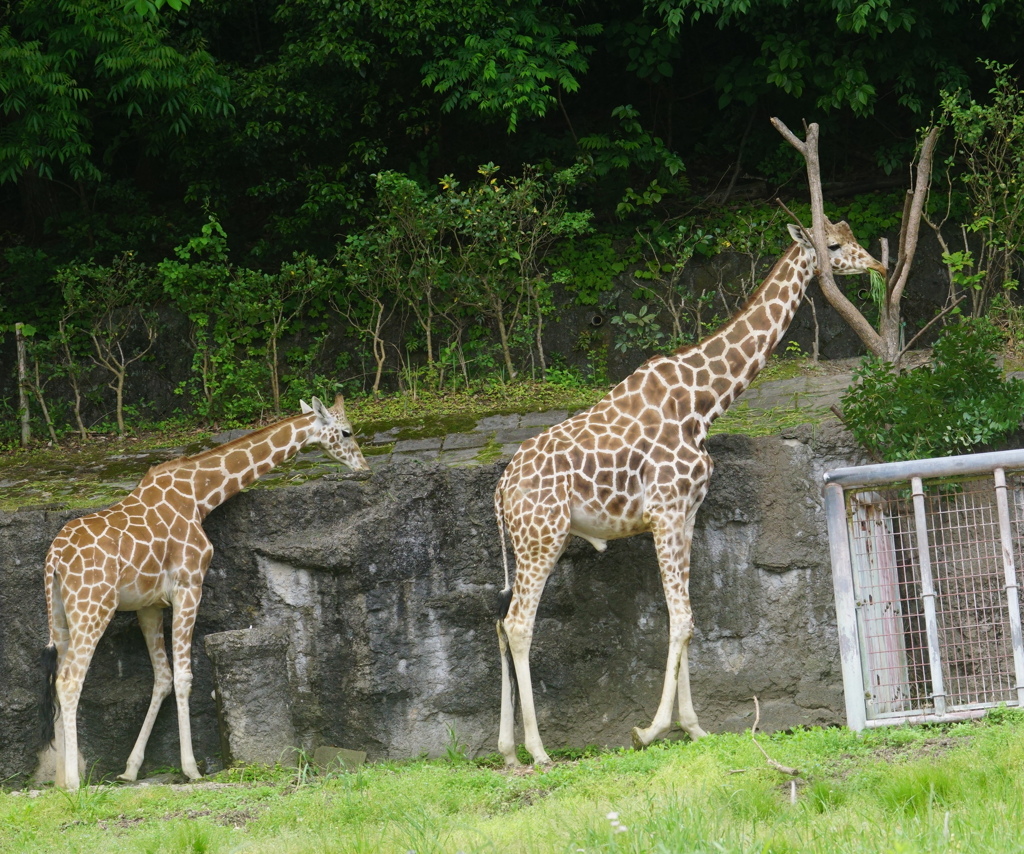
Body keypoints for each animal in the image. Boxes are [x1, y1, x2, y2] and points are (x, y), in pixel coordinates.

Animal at [39, 393, 368, 786]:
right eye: (347, 432)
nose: (365, 467)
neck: (200, 495)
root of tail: (54, 559)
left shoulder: (148, 605)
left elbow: (163, 677)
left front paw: (131, 769)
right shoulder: (189, 584)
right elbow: (184, 677)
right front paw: (191, 768)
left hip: (61, 615)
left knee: (58, 678)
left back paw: (60, 780)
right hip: (94, 606)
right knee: (70, 681)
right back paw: (74, 783)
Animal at [491, 219, 884, 765]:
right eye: (834, 245)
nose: (878, 264)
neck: (704, 402)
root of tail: (502, 487)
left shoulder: (689, 512)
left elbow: (687, 619)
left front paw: (694, 728)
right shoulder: (666, 510)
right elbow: (682, 618)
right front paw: (651, 730)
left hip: (525, 542)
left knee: (500, 623)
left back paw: (508, 751)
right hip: (542, 537)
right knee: (519, 625)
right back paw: (539, 751)